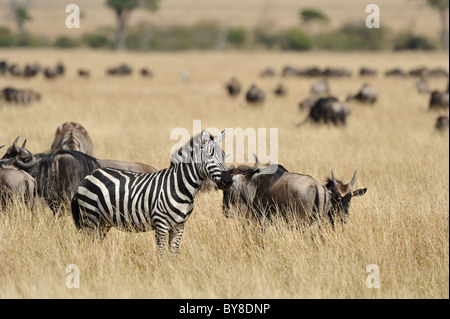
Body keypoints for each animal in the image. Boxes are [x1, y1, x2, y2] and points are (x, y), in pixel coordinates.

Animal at [71, 130, 232, 255]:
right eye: (209, 155)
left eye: (224, 155)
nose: (228, 180)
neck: (181, 187)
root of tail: (89, 175)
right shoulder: (161, 224)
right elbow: (161, 253)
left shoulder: (179, 226)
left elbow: (174, 253)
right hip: (90, 217)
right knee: (86, 244)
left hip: (103, 222)